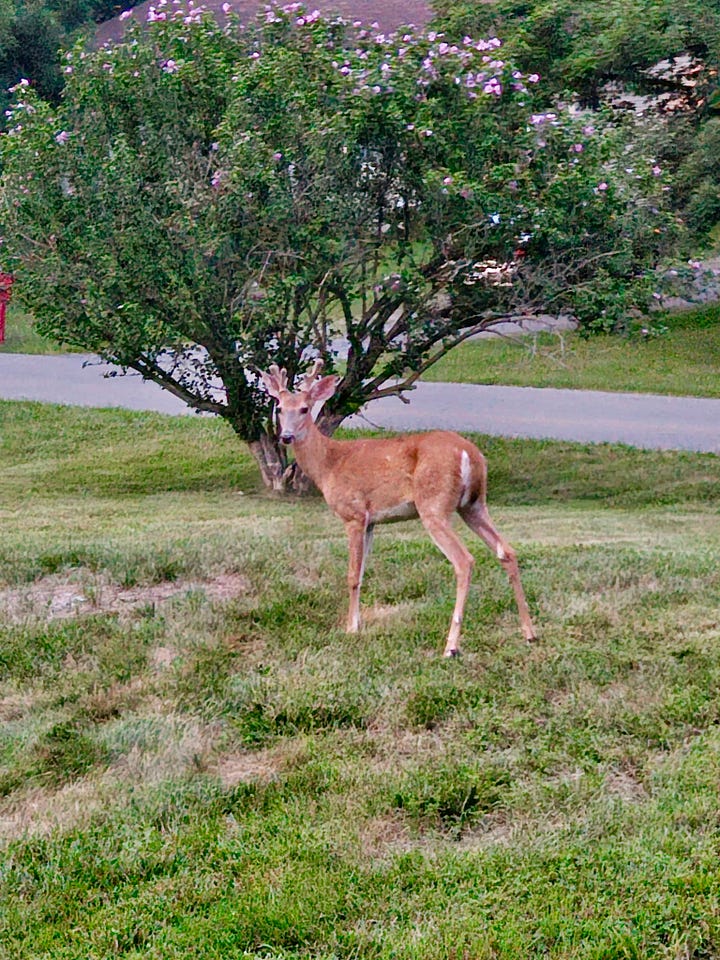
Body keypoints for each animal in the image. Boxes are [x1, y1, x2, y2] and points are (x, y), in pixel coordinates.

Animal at [260, 360, 537, 657]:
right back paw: (529, 633)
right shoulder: (371, 521)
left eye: (304, 408)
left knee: (464, 560)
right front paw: (358, 623)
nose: (286, 437)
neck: (329, 464)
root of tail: (470, 454)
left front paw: (350, 628)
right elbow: (362, 572)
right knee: (506, 551)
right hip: (474, 505)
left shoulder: (354, 514)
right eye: (279, 407)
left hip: (434, 505)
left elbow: (352, 575)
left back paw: (451, 646)